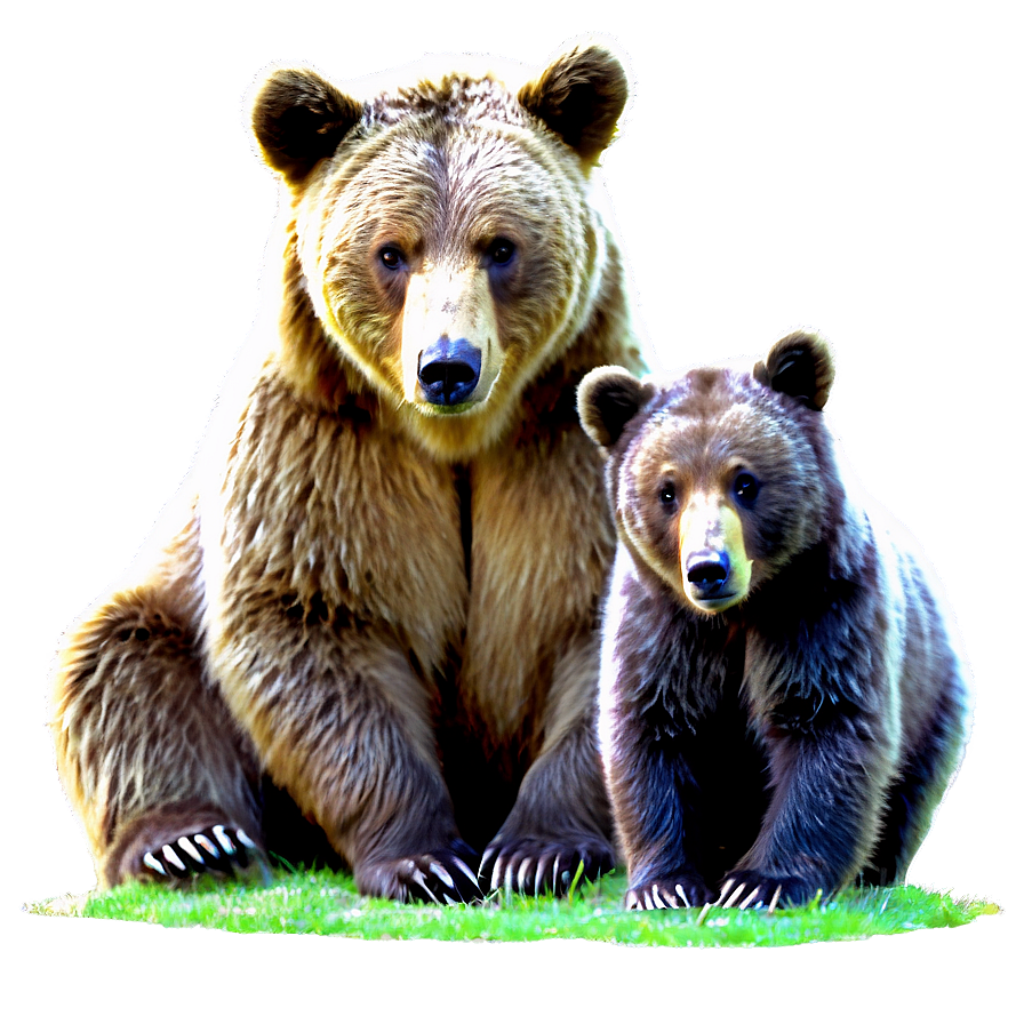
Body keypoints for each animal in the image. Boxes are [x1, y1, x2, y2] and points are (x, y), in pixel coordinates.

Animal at [44, 33, 661, 902]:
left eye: (500, 246)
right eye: (392, 251)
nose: (448, 366)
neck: (457, 441)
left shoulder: (564, 439)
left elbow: (591, 621)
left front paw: (539, 850)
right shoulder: (322, 443)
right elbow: (316, 620)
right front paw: (425, 859)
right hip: (166, 601)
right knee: (119, 663)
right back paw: (192, 844)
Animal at [577, 324, 975, 909]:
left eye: (745, 481)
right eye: (667, 491)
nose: (707, 569)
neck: (740, 614)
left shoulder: (821, 609)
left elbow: (826, 727)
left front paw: (760, 883)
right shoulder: (663, 626)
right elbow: (654, 730)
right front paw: (665, 885)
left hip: (934, 690)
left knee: (907, 792)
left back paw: (875, 876)